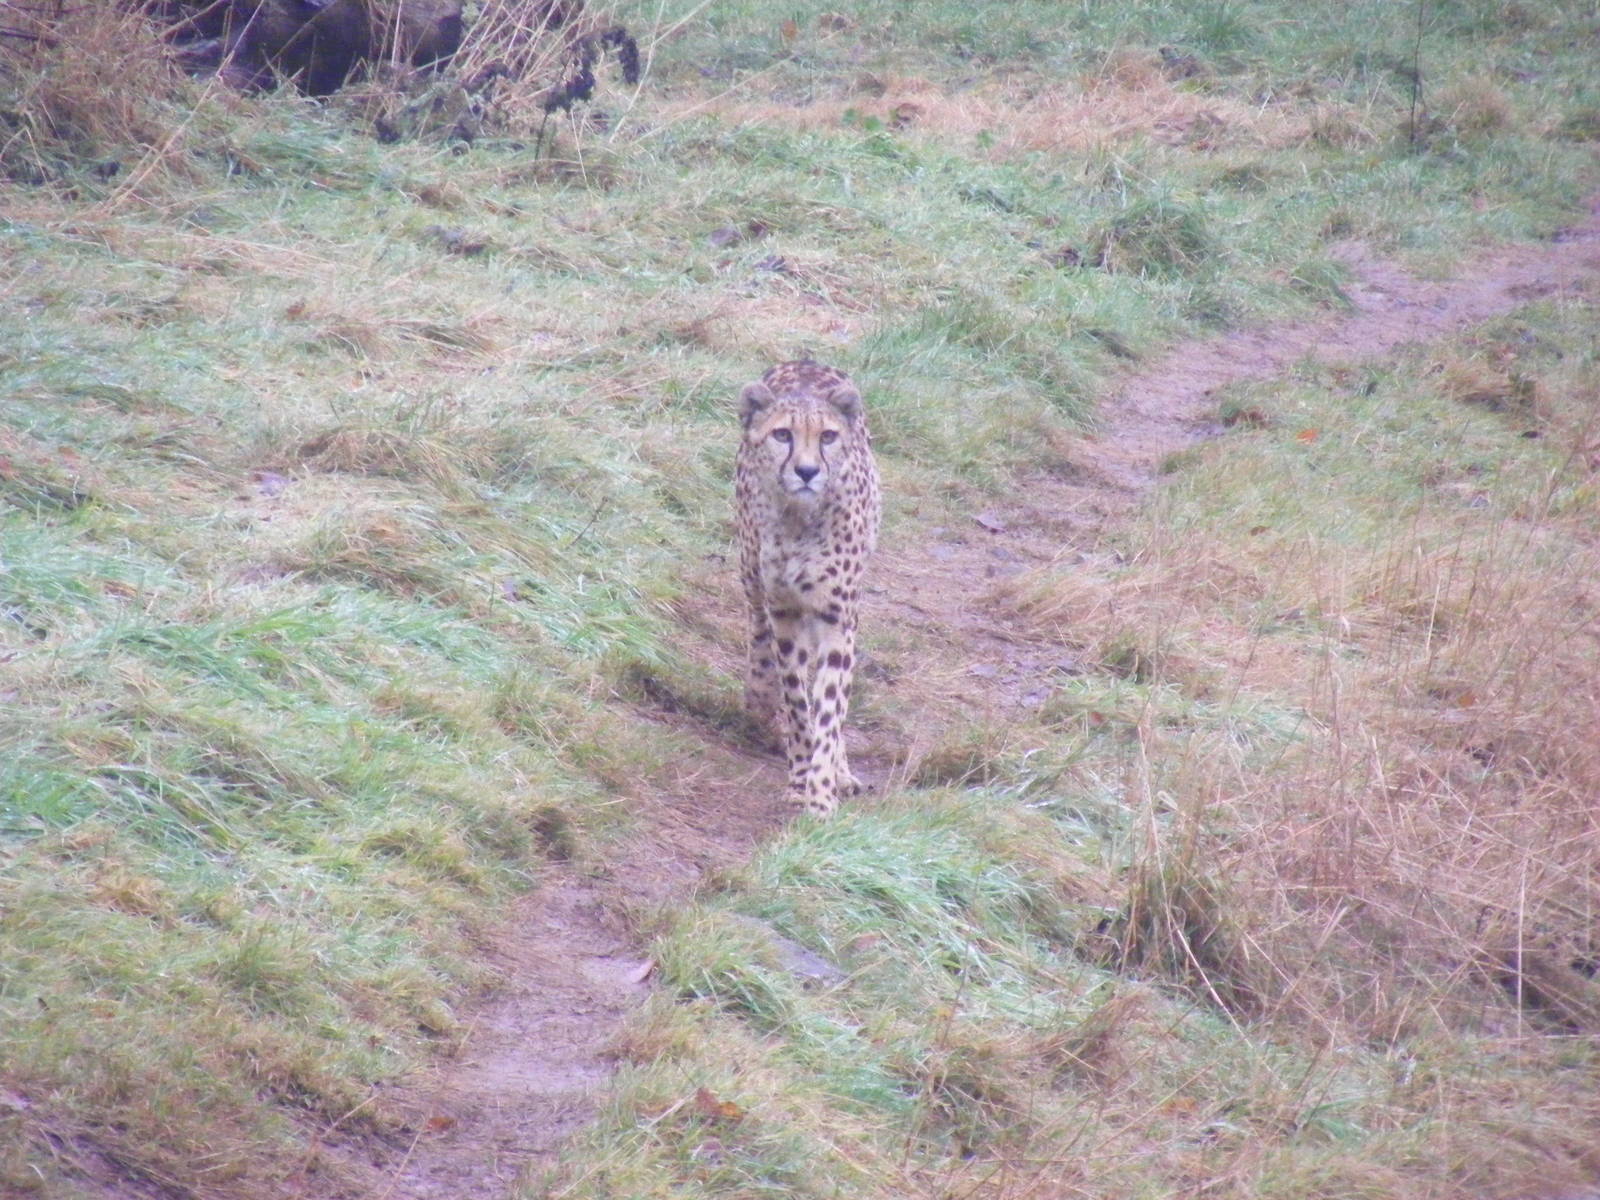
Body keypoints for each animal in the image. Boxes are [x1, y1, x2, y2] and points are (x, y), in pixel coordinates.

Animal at [735, 360, 881, 818]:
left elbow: (829, 708)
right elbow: (798, 703)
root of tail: (805, 361)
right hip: (751, 576)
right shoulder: (784, 614)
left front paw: (821, 794)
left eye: (828, 437)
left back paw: (841, 772)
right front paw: (801, 779)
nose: (806, 471)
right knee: (758, 633)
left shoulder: (837, 620)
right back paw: (760, 694)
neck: (801, 519)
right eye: (783, 434)